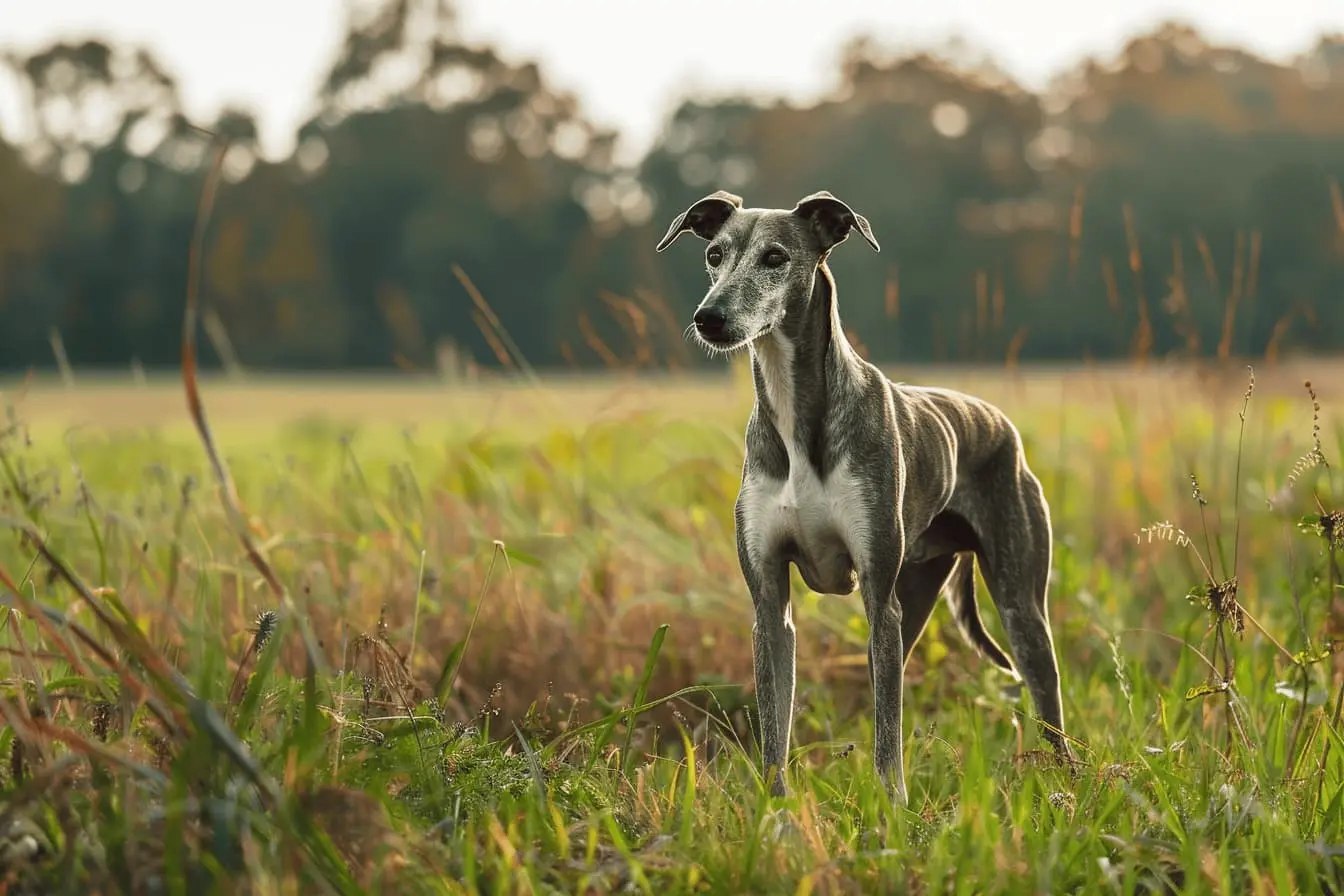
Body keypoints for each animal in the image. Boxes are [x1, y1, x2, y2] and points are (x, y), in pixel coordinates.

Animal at [653, 189, 1069, 805]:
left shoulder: (877, 595)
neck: (798, 418)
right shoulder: (770, 606)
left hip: (1016, 607)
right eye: (713, 254)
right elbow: (775, 727)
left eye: (775, 257)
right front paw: (775, 812)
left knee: (1045, 699)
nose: (710, 318)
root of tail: (997, 421)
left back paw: (1068, 784)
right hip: (912, 600)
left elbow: (886, 734)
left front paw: (892, 808)